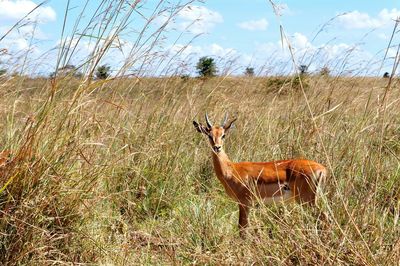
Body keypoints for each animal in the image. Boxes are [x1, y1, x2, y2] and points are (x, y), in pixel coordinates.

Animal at [194, 113, 328, 236]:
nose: (217, 147)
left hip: (306, 200)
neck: (231, 169)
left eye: (223, 135)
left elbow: (242, 229)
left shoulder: (244, 202)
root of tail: (322, 169)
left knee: (323, 217)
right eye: (209, 135)